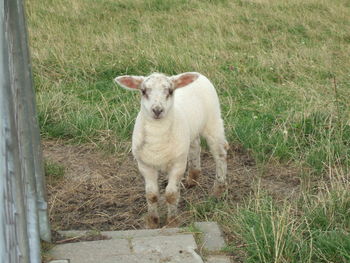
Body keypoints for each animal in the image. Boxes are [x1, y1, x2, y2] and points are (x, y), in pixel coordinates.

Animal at [115, 72, 228, 229]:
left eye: (170, 91)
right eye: (143, 91)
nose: (157, 110)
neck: (157, 138)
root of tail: (200, 74)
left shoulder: (178, 165)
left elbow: (171, 195)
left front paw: (172, 222)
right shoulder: (145, 165)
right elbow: (151, 195)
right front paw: (152, 222)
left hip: (213, 121)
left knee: (220, 154)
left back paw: (218, 189)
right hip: (189, 134)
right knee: (195, 147)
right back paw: (193, 178)